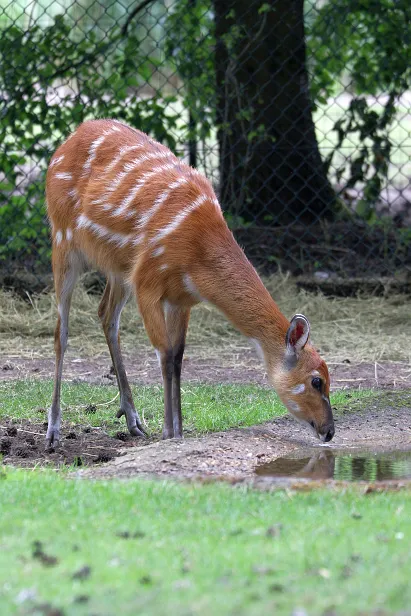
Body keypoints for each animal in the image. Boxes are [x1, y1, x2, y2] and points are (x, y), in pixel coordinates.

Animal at [45, 119, 334, 448]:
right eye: (316, 380)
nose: (329, 431)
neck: (196, 255)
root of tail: (67, 140)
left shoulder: (180, 297)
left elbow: (178, 356)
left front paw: (179, 431)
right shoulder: (147, 282)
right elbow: (164, 353)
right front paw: (168, 433)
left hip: (118, 267)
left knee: (106, 314)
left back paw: (133, 420)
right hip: (63, 239)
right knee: (62, 330)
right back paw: (53, 430)